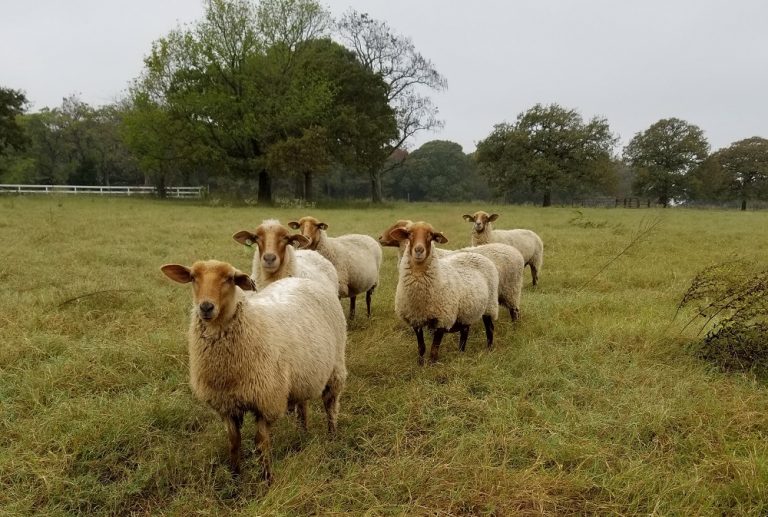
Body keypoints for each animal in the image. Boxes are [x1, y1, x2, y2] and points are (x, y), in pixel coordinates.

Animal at [160, 259, 347, 482]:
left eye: (229, 278)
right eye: (193, 277)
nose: (205, 307)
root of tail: (303, 280)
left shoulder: (266, 400)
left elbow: (261, 444)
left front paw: (267, 479)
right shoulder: (226, 404)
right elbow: (234, 442)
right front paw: (235, 477)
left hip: (336, 367)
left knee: (330, 405)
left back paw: (332, 436)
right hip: (304, 374)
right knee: (303, 406)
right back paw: (303, 434)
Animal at [380, 219, 524, 320]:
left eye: (396, 227)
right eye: (409, 233)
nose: (380, 237)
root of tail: (516, 252)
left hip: (512, 289)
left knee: (515, 311)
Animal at [390, 221, 499, 365]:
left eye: (430, 235)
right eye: (409, 234)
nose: (419, 250)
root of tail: (478, 255)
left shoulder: (442, 319)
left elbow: (434, 349)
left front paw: (432, 365)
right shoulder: (416, 319)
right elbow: (421, 347)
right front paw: (420, 364)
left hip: (490, 305)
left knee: (490, 328)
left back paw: (489, 349)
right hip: (467, 310)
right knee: (465, 331)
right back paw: (460, 353)